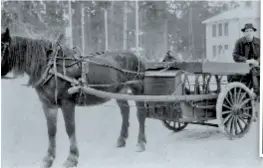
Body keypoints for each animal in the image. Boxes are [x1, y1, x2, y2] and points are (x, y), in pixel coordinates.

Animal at [0, 27, 148, 168]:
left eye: (2, 48)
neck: (52, 67)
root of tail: (136, 56)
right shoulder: (48, 105)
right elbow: (51, 131)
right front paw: (48, 158)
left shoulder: (67, 103)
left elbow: (70, 128)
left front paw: (72, 158)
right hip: (118, 91)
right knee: (125, 111)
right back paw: (122, 139)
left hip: (137, 89)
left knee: (140, 114)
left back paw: (140, 143)